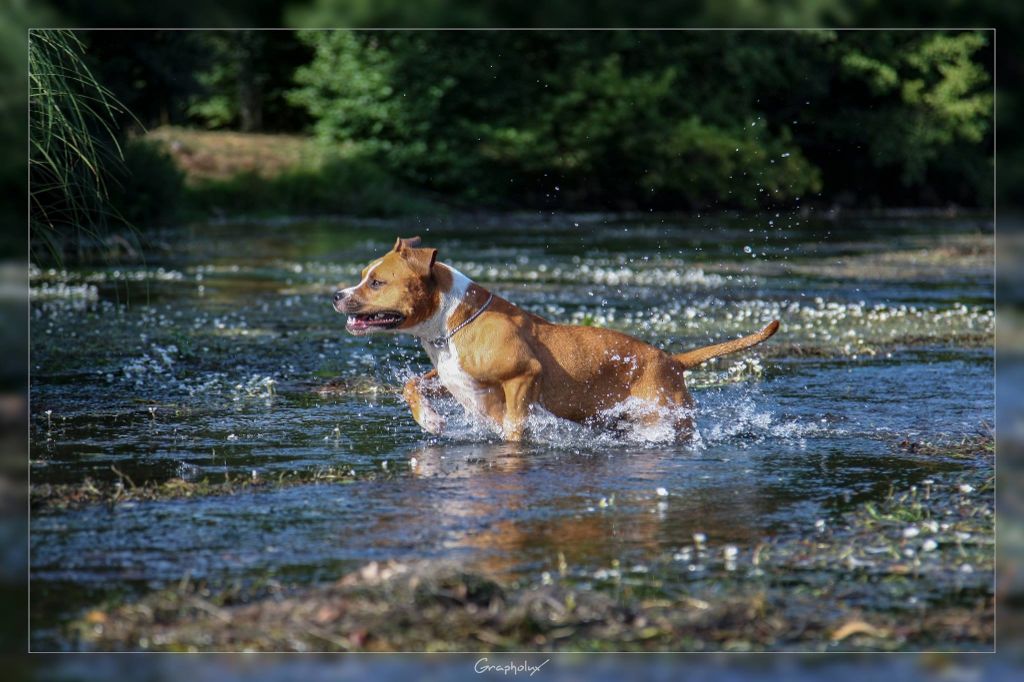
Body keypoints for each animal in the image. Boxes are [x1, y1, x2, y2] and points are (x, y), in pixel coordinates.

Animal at [331, 236, 778, 440]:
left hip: (662, 416)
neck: (450, 323)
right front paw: (430, 419)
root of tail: (673, 360)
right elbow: (412, 383)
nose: (337, 294)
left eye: (377, 282)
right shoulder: (456, 377)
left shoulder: (523, 376)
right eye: (364, 276)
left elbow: (514, 424)